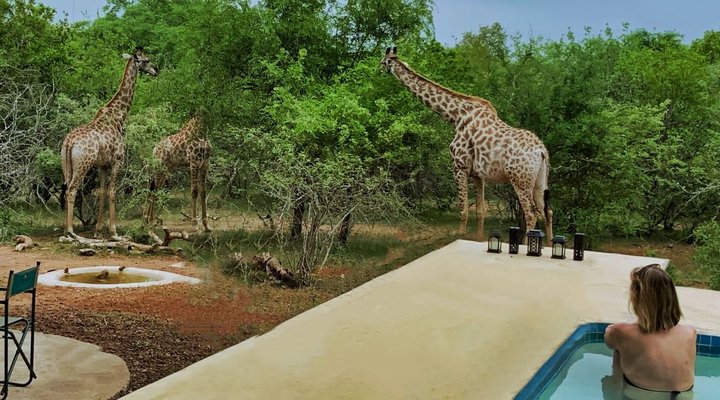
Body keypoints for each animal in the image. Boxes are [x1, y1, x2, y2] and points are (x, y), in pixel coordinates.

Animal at [61, 47, 157, 239]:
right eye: (146, 60)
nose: (155, 71)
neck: (119, 117)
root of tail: (68, 143)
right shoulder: (117, 161)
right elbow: (112, 192)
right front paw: (114, 231)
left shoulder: (102, 165)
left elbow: (102, 192)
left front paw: (98, 231)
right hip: (83, 164)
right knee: (72, 190)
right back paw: (71, 231)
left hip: (66, 165)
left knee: (67, 188)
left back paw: (67, 231)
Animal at [381, 47, 553, 244]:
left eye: (383, 61)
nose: (378, 69)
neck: (455, 115)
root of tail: (541, 151)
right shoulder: (478, 174)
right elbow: (480, 211)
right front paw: (478, 238)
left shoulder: (459, 166)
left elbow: (462, 209)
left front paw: (459, 236)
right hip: (540, 179)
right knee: (547, 212)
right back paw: (549, 245)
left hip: (520, 179)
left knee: (531, 214)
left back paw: (525, 245)